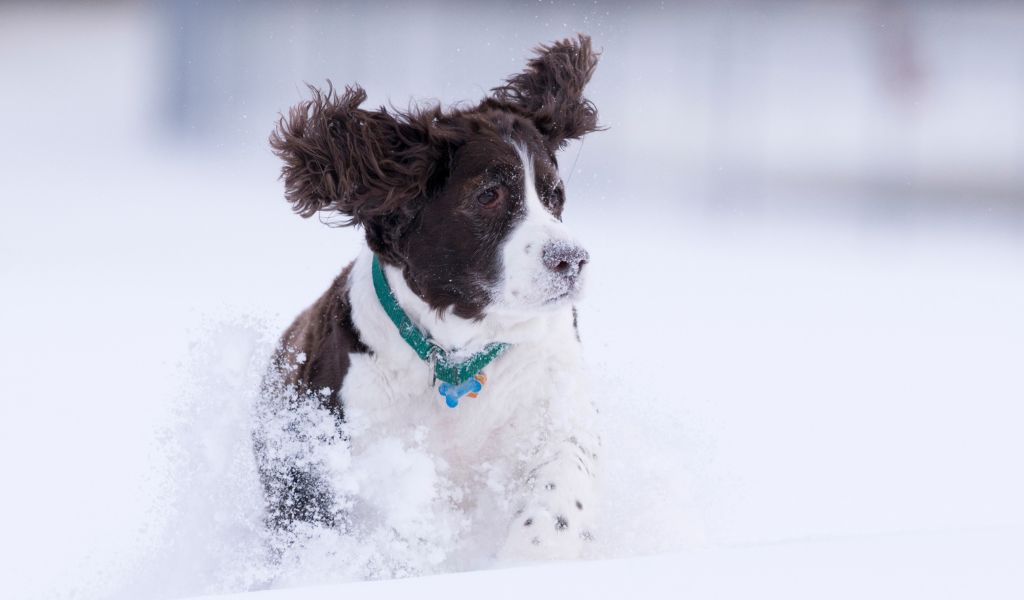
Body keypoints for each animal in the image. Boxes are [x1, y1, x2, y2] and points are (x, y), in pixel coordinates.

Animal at [256, 35, 602, 561]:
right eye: (488, 195)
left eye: (554, 195)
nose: (572, 260)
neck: (456, 356)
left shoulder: (554, 394)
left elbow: (563, 470)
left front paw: (534, 551)